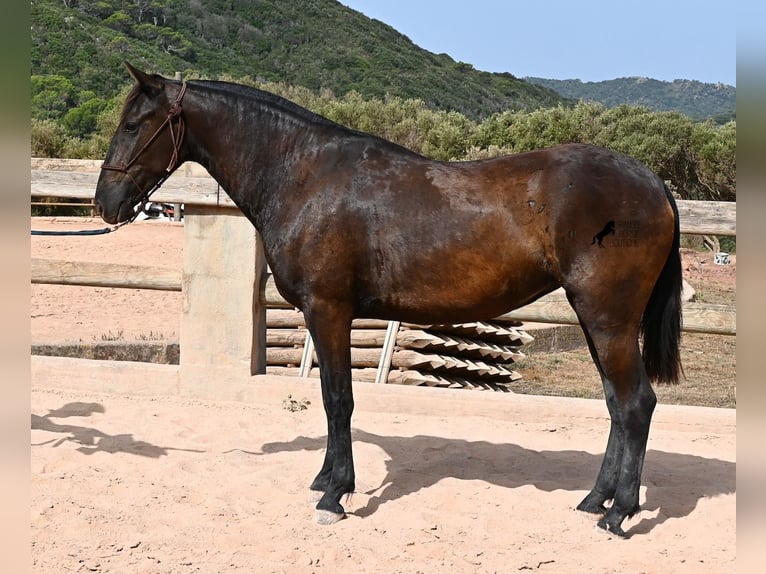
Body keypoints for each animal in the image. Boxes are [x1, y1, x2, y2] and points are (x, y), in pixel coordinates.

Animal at [94, 63, 682, 537]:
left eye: (133, 125)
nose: (105, 203)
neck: (303, 174)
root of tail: (652, 180)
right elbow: (331, 398)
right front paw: (325, 479)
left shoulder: (329, 310)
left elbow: (338, 399)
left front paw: (335, 495)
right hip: (597, 320)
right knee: (615, 404)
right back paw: (594, 500)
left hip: (608, 319)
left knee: (636, 404)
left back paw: (618, 514)